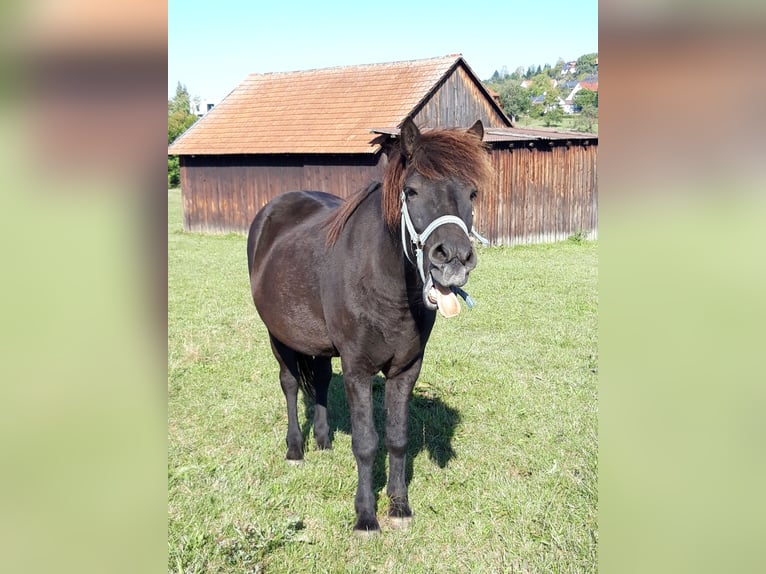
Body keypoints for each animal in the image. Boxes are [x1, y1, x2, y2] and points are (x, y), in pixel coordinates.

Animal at [249, 116, 496, 536]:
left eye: (472, 193)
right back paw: (296, 448)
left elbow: (397, 438)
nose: (453, 258)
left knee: (319, 380)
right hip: (278, 336)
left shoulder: (405, 370)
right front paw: (365, 516)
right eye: (411, 191)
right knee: (290, 384)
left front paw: (399, 507)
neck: (383, 283)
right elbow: (366, 442)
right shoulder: (358, 369)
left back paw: (323, 440)